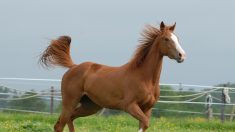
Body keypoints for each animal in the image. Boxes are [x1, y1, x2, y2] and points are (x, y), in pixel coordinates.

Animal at [39, 21, 185, 131]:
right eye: (166, 39)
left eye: (177, 38)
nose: (182, 55)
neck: (145, 78)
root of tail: (74, 66)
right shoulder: (130, 106)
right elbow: (145, 123)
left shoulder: (147, 108)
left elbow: (144, 125)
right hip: (70, 102)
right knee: (59, 125)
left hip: (90, 106)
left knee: (70, 119)